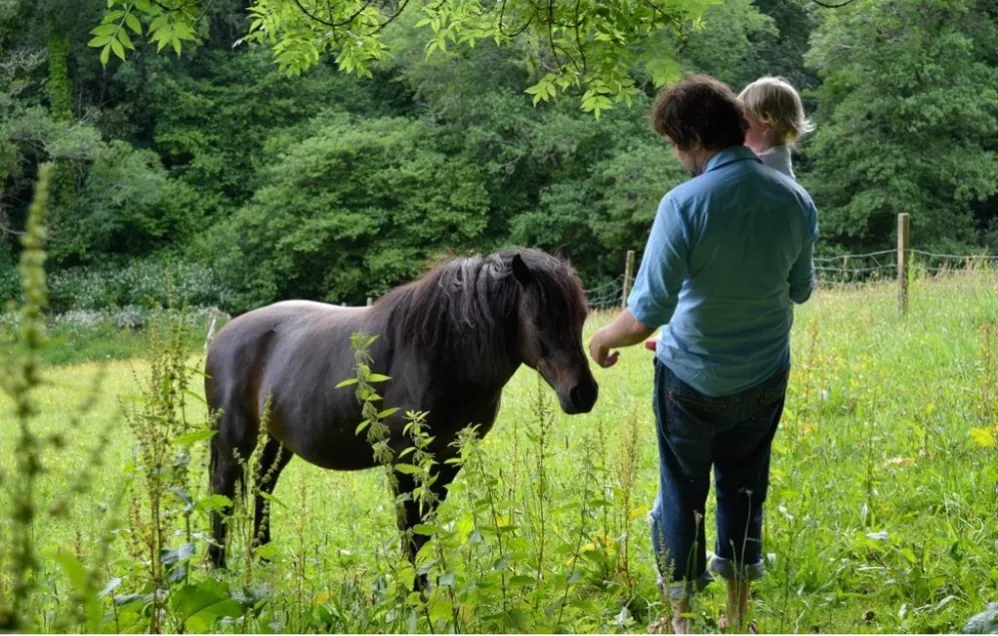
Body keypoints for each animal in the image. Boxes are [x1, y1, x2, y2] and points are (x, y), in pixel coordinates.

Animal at [203, 248, 599, 584]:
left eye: (581, 317)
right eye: (539, 321)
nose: (583, 394)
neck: (440, 353)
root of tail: (222, 337)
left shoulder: (448, 457)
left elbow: (426, 524)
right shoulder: (402, 459)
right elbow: (410, 525)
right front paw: (415, 591)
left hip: (278, 439)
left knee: (262, 484)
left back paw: (263, 559)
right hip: (233, 439)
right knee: (222, 492)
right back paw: (217, 568)